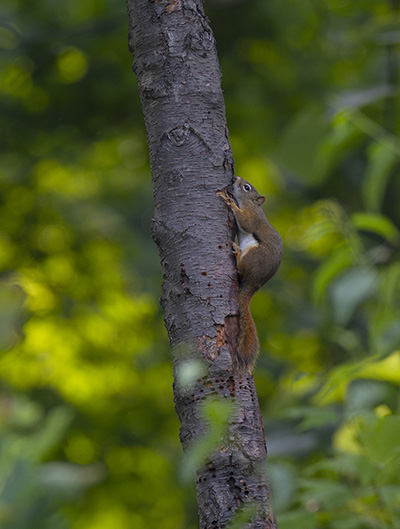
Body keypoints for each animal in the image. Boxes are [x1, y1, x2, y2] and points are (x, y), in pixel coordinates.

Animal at [217, 177, 282, 372]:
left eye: (247, 187)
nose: (235, 178)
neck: (254, 206)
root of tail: (254, 283)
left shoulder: (252, 218)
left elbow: (244, 221)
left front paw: (230, 203)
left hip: (254, 255)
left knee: (241, 268)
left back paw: (238, 254)